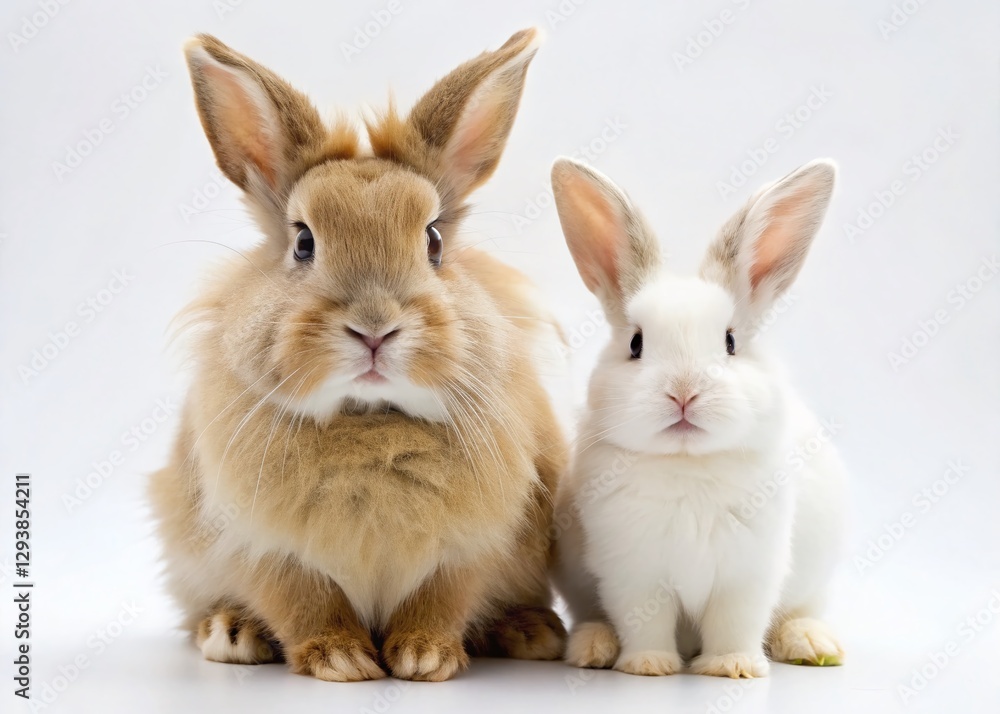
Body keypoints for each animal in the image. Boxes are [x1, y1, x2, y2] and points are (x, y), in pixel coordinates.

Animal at [148, 29, 570, 682]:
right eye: (302, 242)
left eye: (434, 241)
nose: (374, 329)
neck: (370, 422)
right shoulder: (264, 547)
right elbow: (303, 602)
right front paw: (341, 660)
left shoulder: (469, 548)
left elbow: (441, 599)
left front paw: (424, 657)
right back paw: (233, 632)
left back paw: (530, 631)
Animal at [549, 157, 848, 678]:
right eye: (636, 343)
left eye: (730, 342)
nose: (684, 392)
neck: (687, 464)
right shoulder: (633, 571)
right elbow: (644, 620)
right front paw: (649, 666)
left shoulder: (749, 572)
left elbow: (735, 622)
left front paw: (734, 667)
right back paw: (592, 647)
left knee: (800, 612)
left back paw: (813, 644)